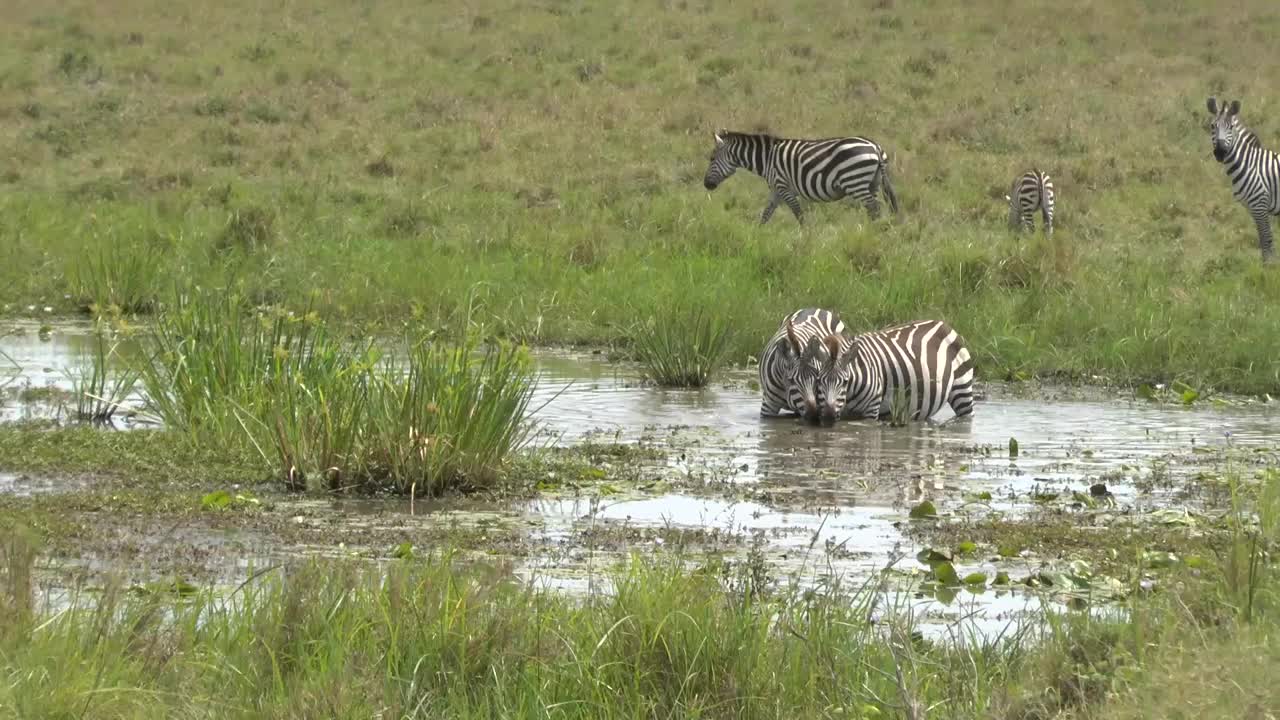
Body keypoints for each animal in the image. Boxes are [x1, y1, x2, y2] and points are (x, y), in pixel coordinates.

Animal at [701, 128, 901, 224]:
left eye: (711, 158)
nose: (706, 185)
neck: (767, 159)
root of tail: (875, 146)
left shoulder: (784, 187)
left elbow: (799, 214)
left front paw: (807, 238)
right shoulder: (776, 190)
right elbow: (766, 214)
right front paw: (756, 236)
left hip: (855, 181)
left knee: (874, 207)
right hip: (872, 183)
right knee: (873, 209)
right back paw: (869, 232)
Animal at [808, 317, 977, 420]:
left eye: (844, 381)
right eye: (819, 380)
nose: (828, 416)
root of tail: (943, 324)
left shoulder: (871, 410)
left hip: (962, 390)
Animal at [1203, 96, 1274, 262]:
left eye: (1231, 127)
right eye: (1212, 126)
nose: (1220, 152)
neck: (1250, 165)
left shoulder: (1260, 206)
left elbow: (1265, 239)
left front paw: (1268, 265)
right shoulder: (1255, 209)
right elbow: (1264, 239)